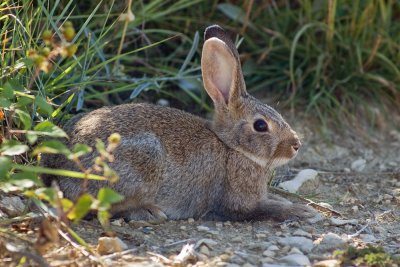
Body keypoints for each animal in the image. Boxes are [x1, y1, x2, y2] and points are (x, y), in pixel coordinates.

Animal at [42, 25, 318, 223]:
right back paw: (147, 212)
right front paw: (301, 212)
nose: (296, 145)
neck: (232, 148)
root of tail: (58, 167)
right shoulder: (237, 203)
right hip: (141, 160)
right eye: (260, 126)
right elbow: (260, 210)